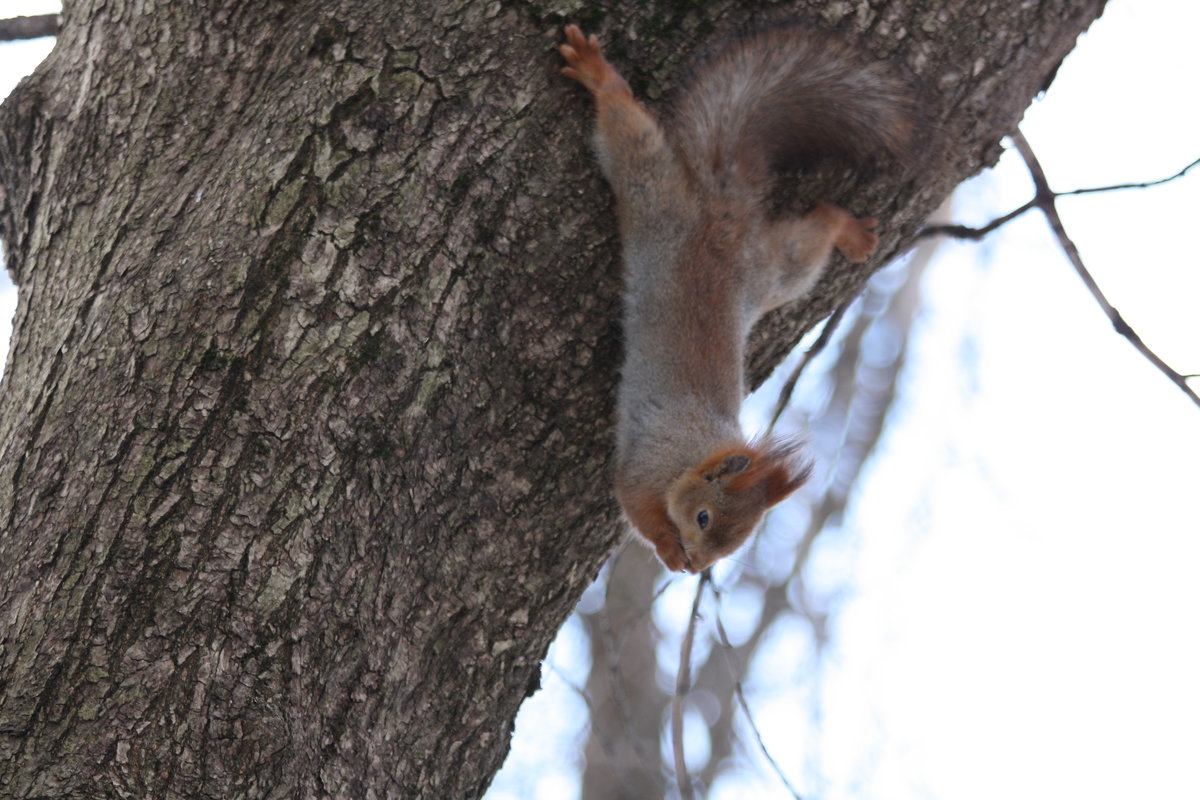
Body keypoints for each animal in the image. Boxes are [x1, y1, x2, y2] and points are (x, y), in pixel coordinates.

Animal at [559, 23, 907, 568]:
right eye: (704, 518)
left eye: (733, 546)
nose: (697, 567)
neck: (697, 450)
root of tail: (720, 218)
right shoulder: (645, 463)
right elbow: (635, 504)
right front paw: (666, 546)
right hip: (659, 201)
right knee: (631, 137)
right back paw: (600, 75)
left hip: (772, 274)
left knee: (809, 238)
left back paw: (845, 227)